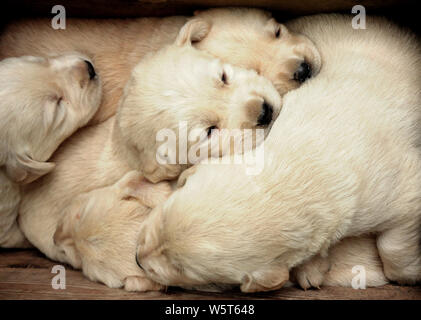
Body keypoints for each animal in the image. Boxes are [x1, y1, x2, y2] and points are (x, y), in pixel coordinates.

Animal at [135, 15, 420, 292]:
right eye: (161, 214)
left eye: (185, 271)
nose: (137, 259)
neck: (301, 167)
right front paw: (311, 269)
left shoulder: (399, 190)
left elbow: (393, 245)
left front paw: (408, 275)